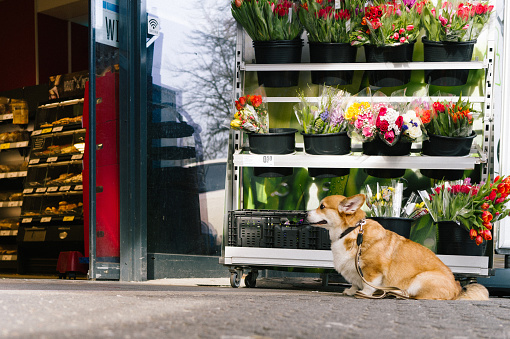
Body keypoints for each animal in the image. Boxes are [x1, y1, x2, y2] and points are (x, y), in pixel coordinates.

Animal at [306, 194, 490, 300]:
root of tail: (457, 289)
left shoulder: (373, 271)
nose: (304, 213)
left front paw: (364, 294)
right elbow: (355, 283)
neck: (352, 231)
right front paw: (351, 291)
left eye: (322, 206)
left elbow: (368, 284)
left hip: (420, 279)